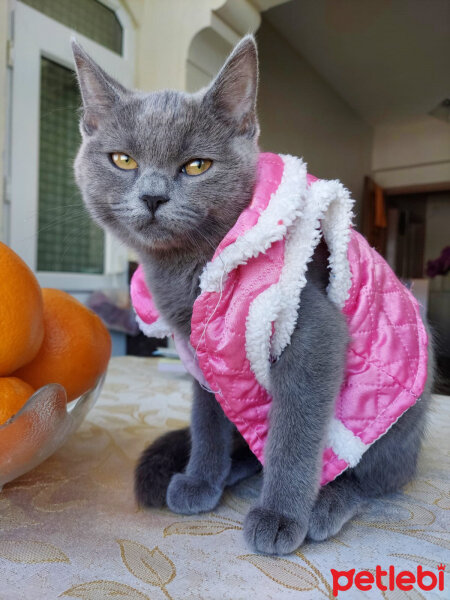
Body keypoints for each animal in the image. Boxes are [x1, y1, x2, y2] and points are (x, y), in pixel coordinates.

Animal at [73, 36, 432, 552]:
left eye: (196, 165)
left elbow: (295, 433)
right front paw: (201, 479)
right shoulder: (204, 357)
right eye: (123, 160)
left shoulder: (314, 335)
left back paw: (324, 504)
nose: (153, 196)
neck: (188, 272)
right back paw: (228, 472)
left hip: (392, 428)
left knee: (370, 479)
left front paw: (280, 514)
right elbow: (206, 421)